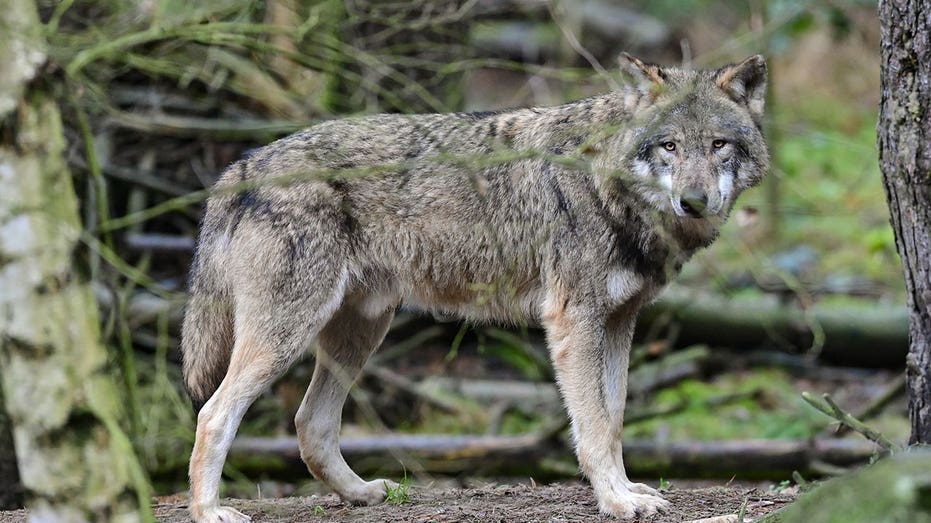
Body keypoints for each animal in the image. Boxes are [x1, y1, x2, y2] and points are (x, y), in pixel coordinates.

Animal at [181, 53, 769, 522]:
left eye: (718, 145)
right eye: (669, 146)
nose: (694, 201)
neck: (606, 180)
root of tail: (241, 168)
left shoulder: (620, 322)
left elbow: (616, 420)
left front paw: (628, 491)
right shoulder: (573, 322)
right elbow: (595, 428)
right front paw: (616, 501)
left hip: (358, 334)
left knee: (311, 424)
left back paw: (362, 494)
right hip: (288, 336)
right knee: (213, 415)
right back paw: (209, 512)